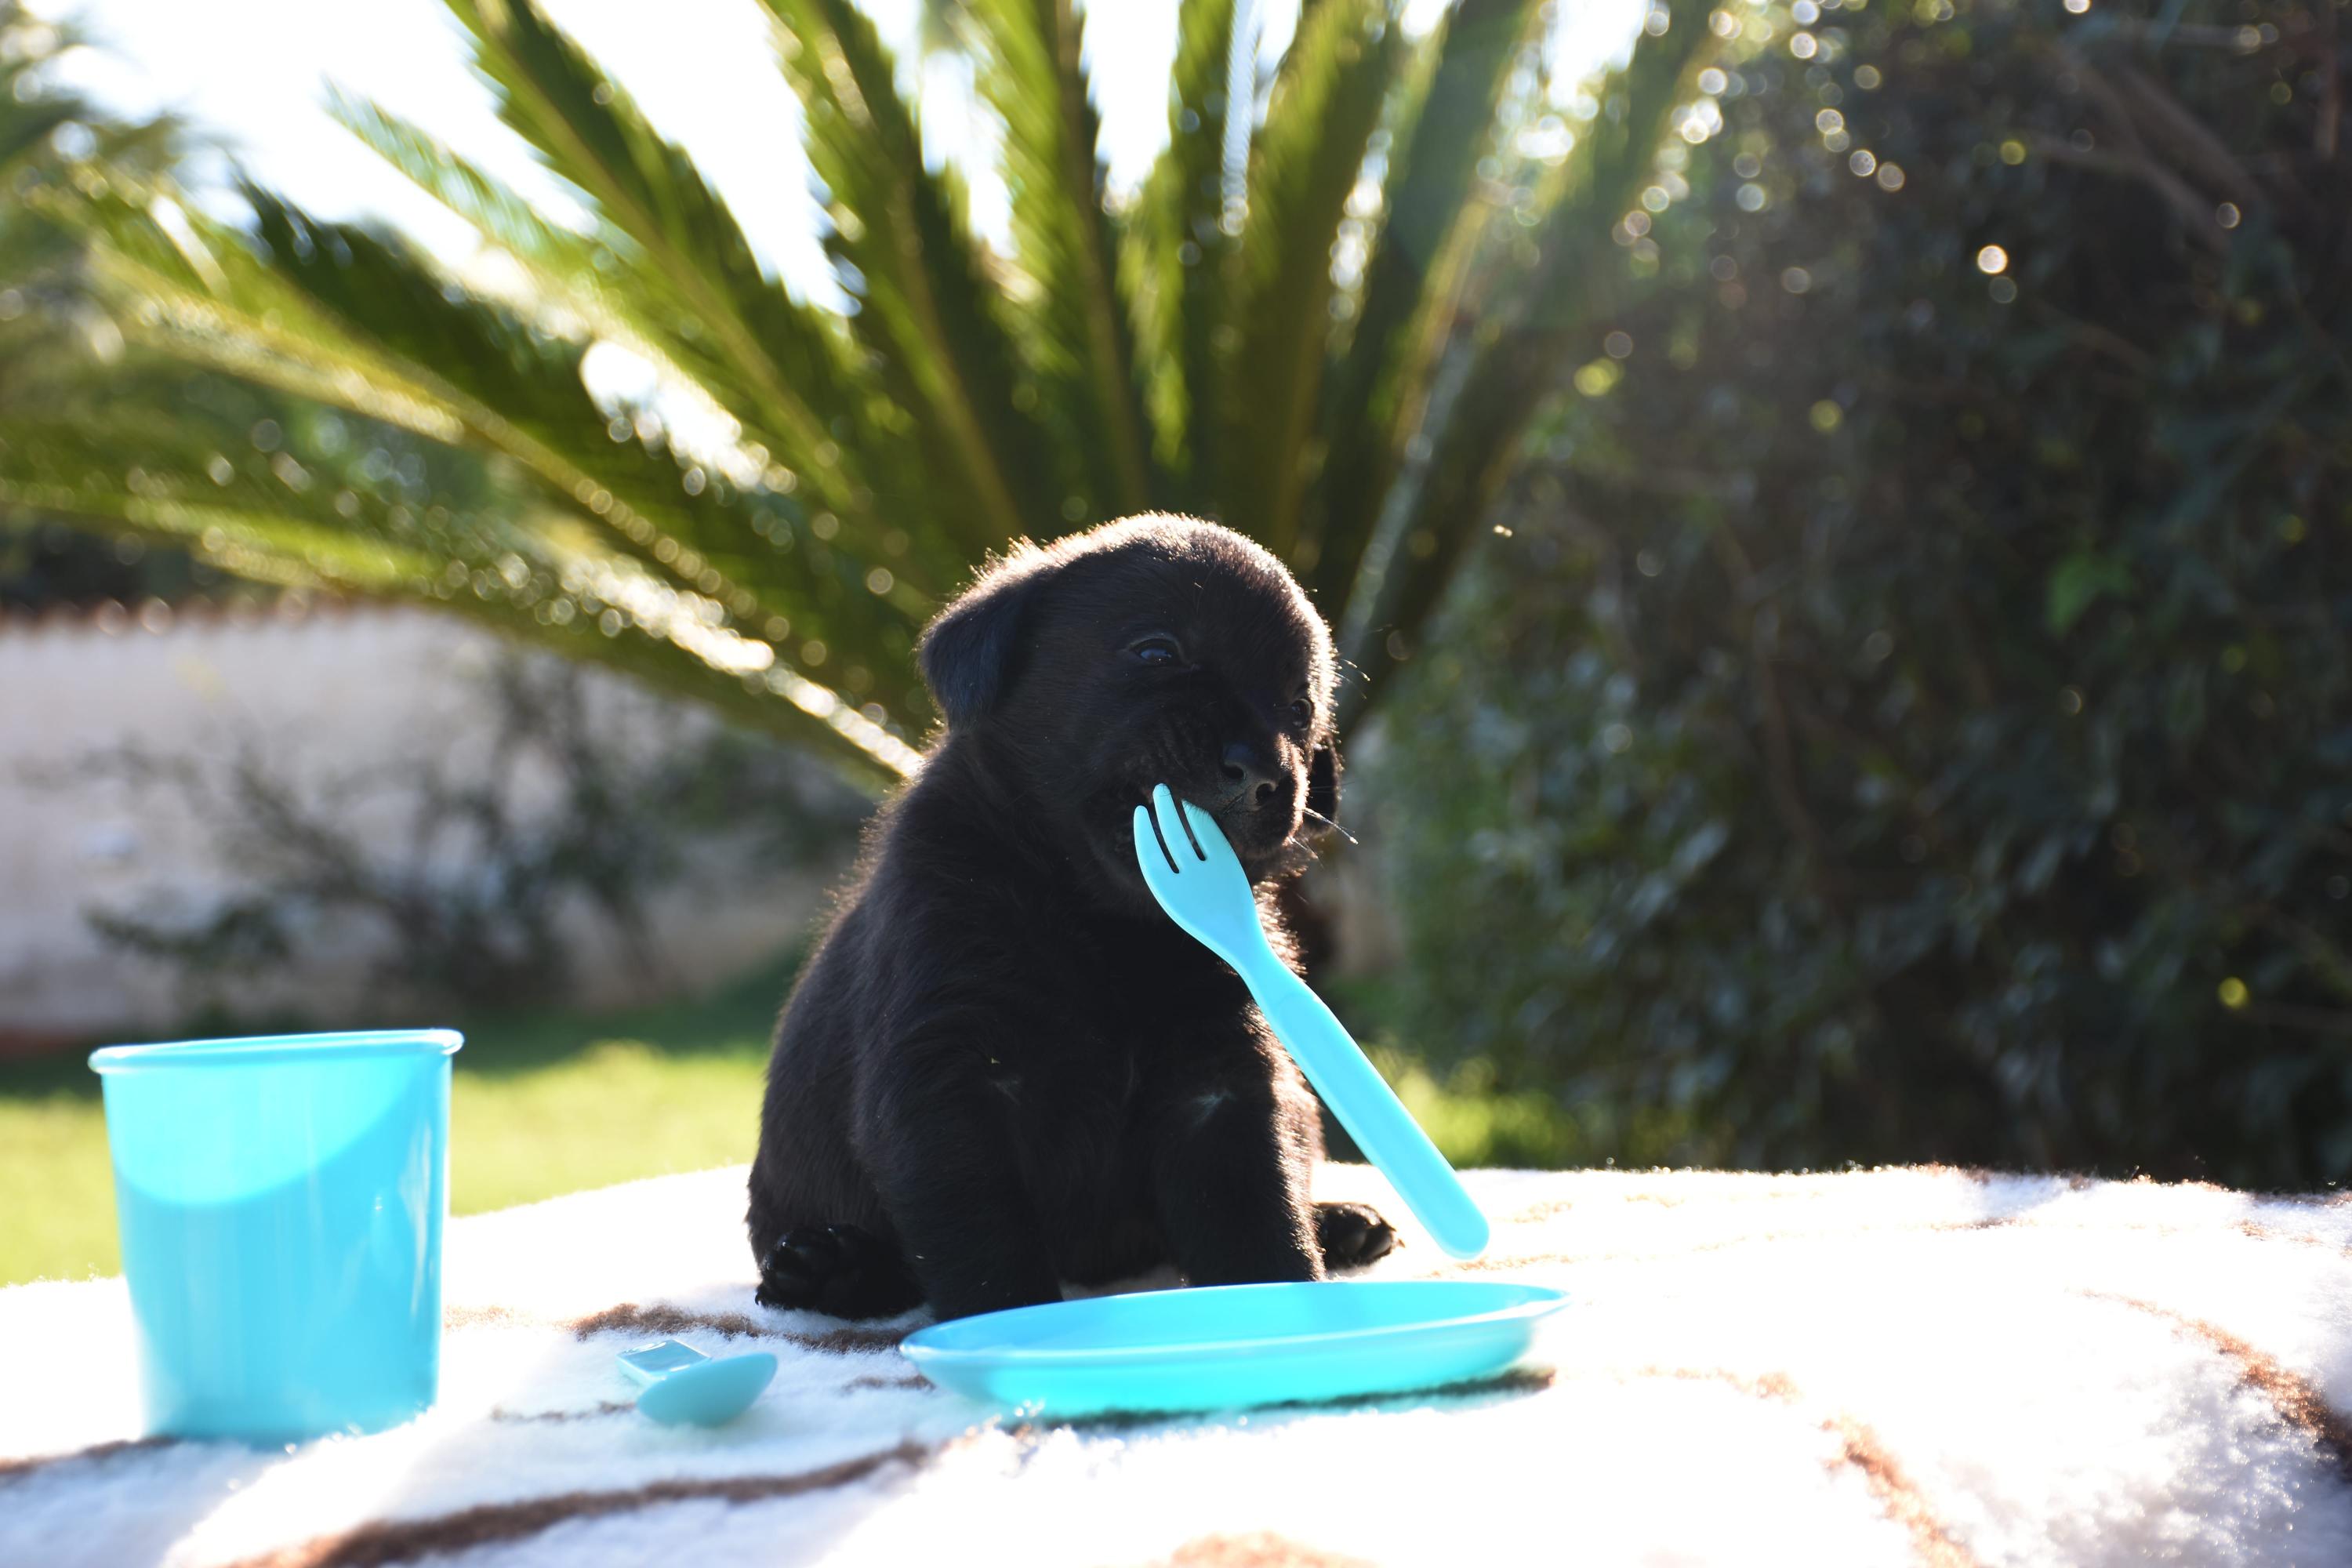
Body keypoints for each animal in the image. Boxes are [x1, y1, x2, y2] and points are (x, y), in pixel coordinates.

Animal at [743, 517, 1383, 1326]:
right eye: (1157, 652)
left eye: (1300, 708)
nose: (1264, 775)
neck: (1098, 922)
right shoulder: (946, 1084)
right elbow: (986, 1253)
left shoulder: (1223, 1088)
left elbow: (1257, 1219)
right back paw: (831, 1269)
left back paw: (1339, 1222)